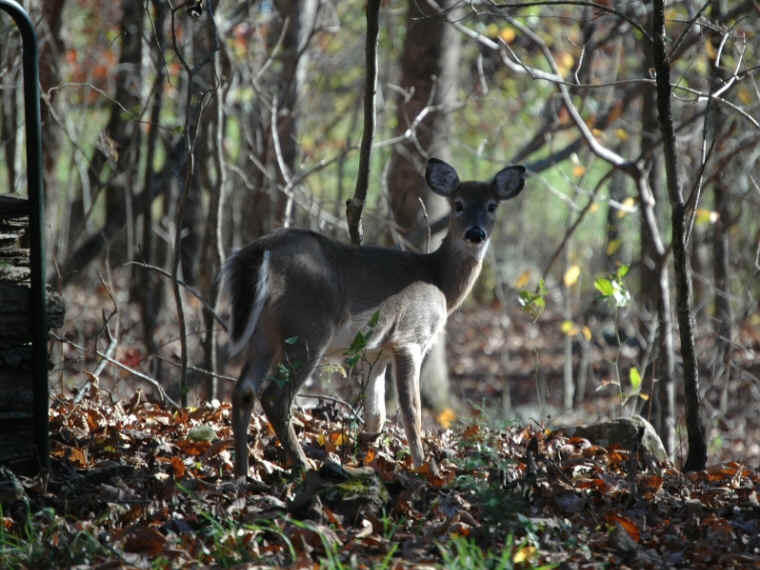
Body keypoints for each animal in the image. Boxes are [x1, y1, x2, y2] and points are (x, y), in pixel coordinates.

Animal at [222, 158, 526, 478]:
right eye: (458, 204)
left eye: (492, 205)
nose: (475, 233)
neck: (438, 280)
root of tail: (261, 250)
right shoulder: (410, 337)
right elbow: (412, 410)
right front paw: (422, 467)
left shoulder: (376, 350)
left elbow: (376, 413)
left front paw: (366, 452)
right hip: (307, 326)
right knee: (274, 397)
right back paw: (304, 465)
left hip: (264, 332)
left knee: (244, 391)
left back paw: (242, 472)